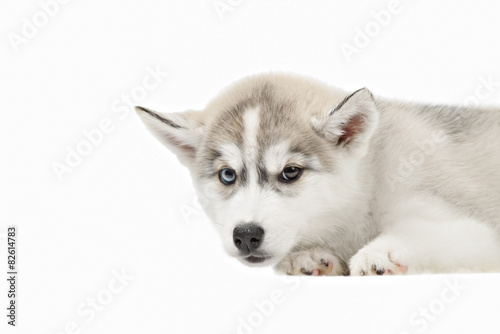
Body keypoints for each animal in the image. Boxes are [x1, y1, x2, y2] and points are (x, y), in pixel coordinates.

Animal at [136, 73, 500, 276]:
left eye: (290, 172)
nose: (246, 235)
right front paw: (309, 257)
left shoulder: (473, 229)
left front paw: (381, 253)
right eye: (227, 175)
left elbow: (427, 234)